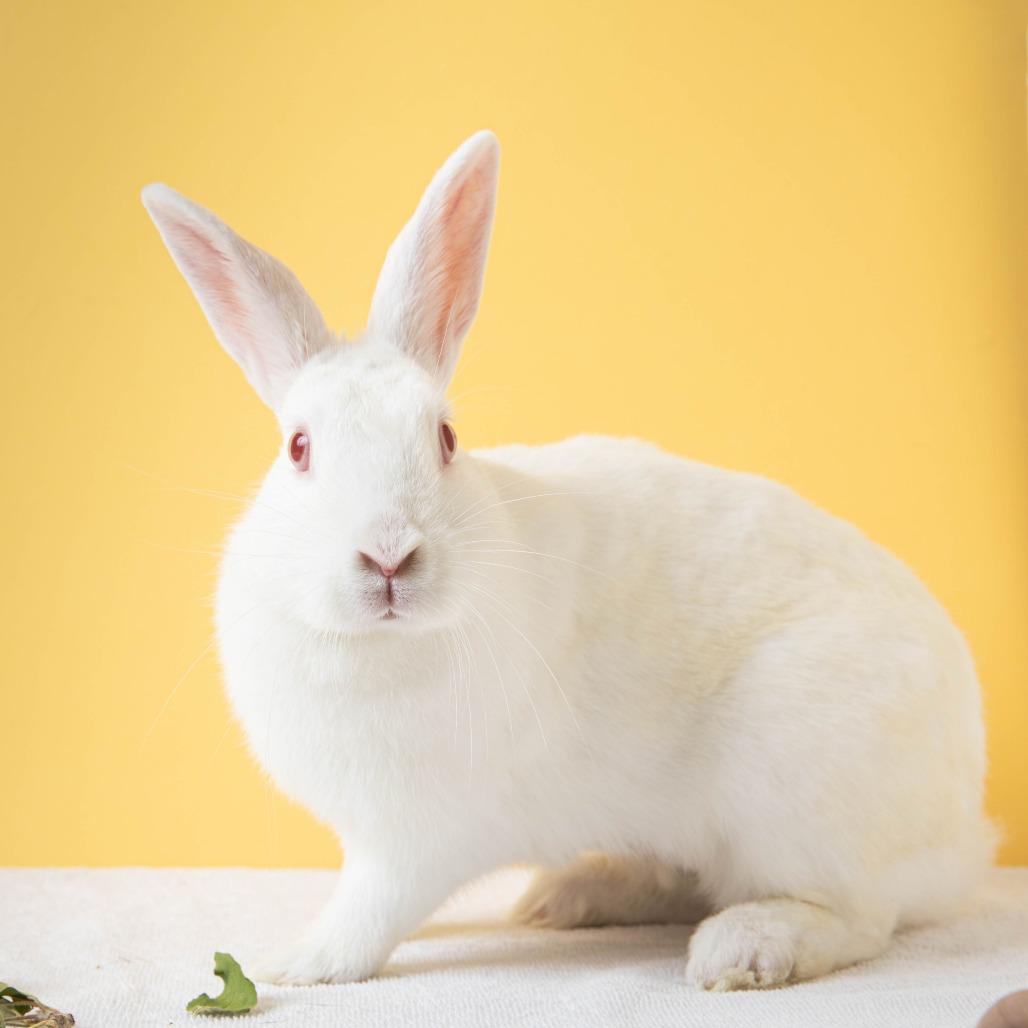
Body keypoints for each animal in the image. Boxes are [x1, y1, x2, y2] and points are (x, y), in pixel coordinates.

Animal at [141, 130, 993, 990]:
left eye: (445, 439)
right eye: (298, 448)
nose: (389, 556)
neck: (381, 644)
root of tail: (965, 821)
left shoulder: (416, 841)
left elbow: (370, 912)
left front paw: (300, 964)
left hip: (795, 788)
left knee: (859, 918)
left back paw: (741, 949)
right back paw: (570, 896)